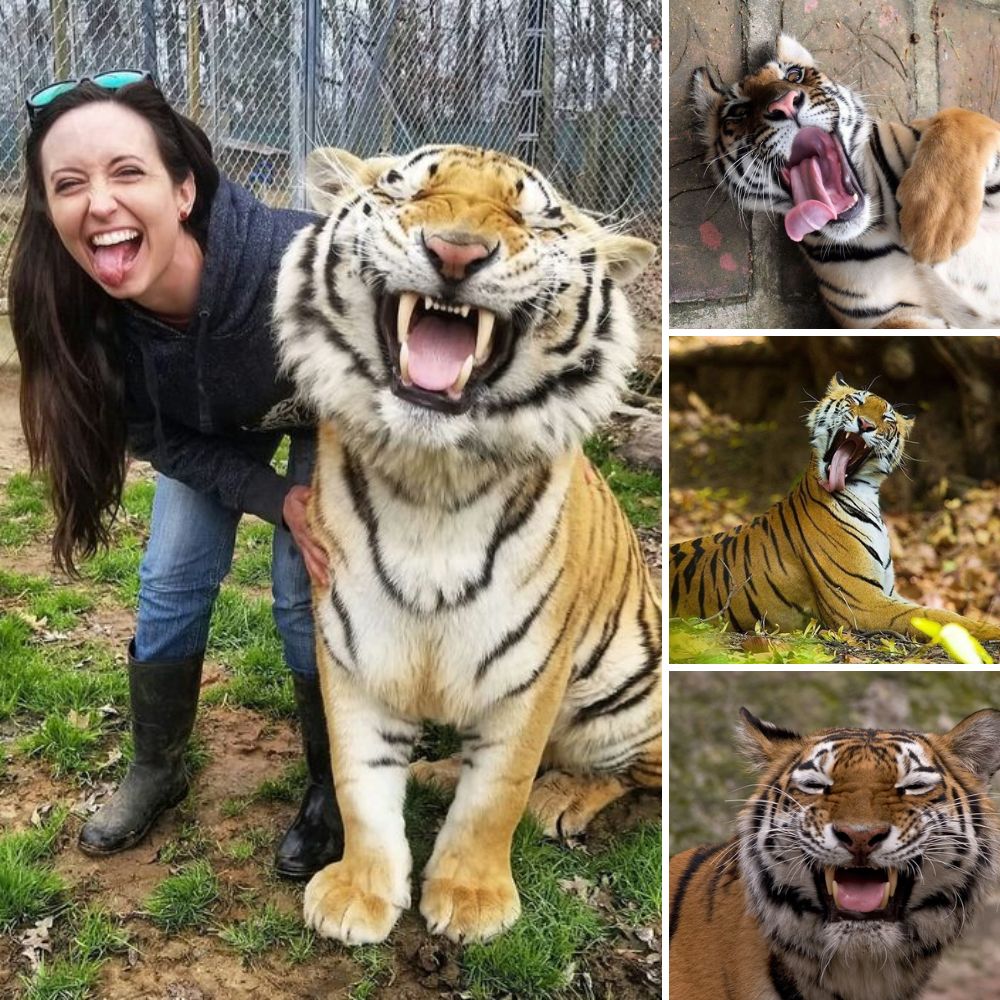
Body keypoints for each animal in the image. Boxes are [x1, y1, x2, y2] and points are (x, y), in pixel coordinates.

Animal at [276, 145, 664, 940]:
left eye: (532, 216)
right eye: (407, 191)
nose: (456, 252)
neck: (432, 479)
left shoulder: (531, 669)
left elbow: (499, 791)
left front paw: (473, 898)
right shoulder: (355, 646)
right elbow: (358, 778)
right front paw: (359, 892)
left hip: (625, 695)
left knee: (630, 773)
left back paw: (564, 799)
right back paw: (435, 772)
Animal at [668, 374, 1000, 640]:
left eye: (888, 419)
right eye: (856, 401)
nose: (865, 425)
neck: (865, 496)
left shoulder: (886, 592)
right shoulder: (861, 601)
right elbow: (938, 616)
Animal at [692, 31, 1000, 326]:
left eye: (794, 75)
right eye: (738, 112)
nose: (784, 104)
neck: (879, 224)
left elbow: (958, 119)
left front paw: (935, 228)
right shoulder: (888, 318)